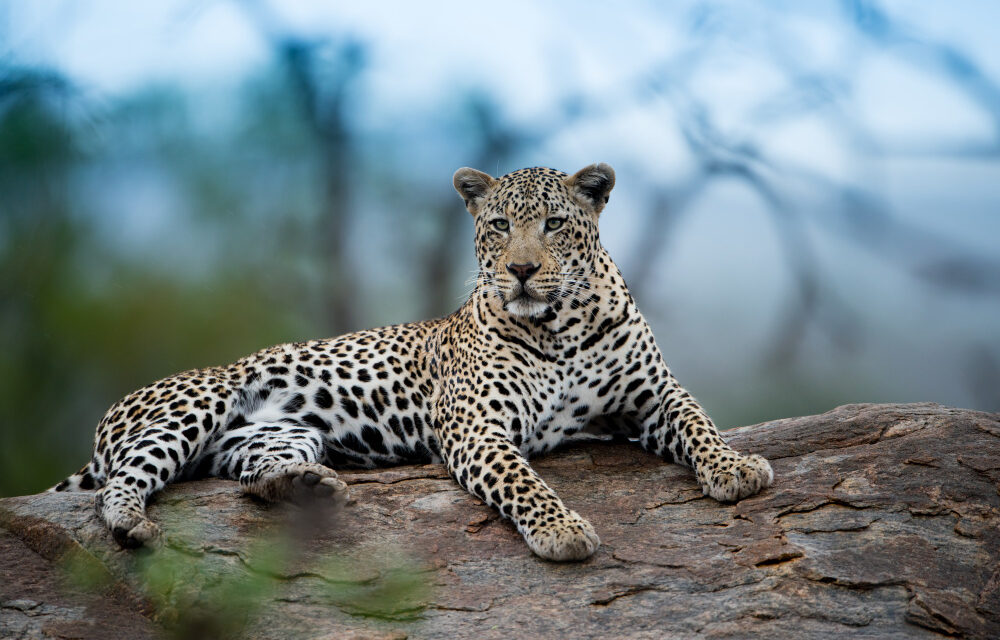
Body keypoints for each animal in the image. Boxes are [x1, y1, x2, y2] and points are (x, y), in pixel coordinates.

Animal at [52, 165, 772, 560]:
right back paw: (132, 524)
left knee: (250, 479)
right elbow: (523, 480)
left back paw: (306, 487)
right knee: (123, 483)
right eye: (500, 225)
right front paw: (561, 529)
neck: (560, 327)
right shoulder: (478, 427)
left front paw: (736, 467)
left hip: (274, 436)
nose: (521, 270)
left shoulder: (652, 396)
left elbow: (699, 422)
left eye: (555, 224)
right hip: (198, 404)